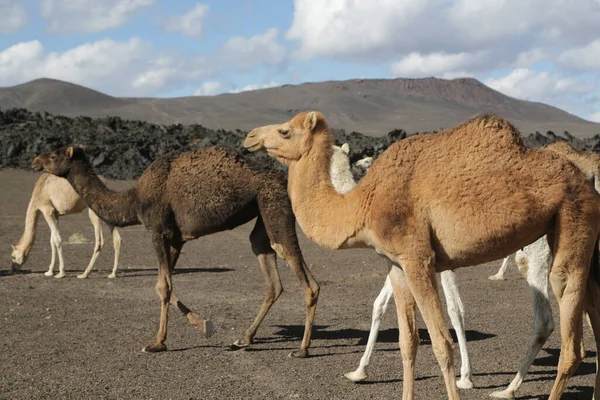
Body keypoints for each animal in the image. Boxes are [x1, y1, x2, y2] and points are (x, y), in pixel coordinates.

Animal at [32, 145, 322, 358]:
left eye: (55, 155)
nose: (36, 161)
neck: (135, 199)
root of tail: (284, 178)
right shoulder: (175, 239)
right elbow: (164, 284)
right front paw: (204, 325)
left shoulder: (157, 230)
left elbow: (163, 287)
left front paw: (157, 342)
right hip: (261, 213)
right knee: (269, 268)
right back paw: (244, 338)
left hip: (274, 205)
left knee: (302, 274)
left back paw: (301, 350)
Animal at [244, 111, 600, 400]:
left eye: (285, 131)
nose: (250, 137)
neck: (364, 202)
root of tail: (586, 179)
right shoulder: (398, 265)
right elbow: (408, 341)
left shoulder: (419, 258)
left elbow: (442, 343)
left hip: (571, 220)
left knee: (570, 338)